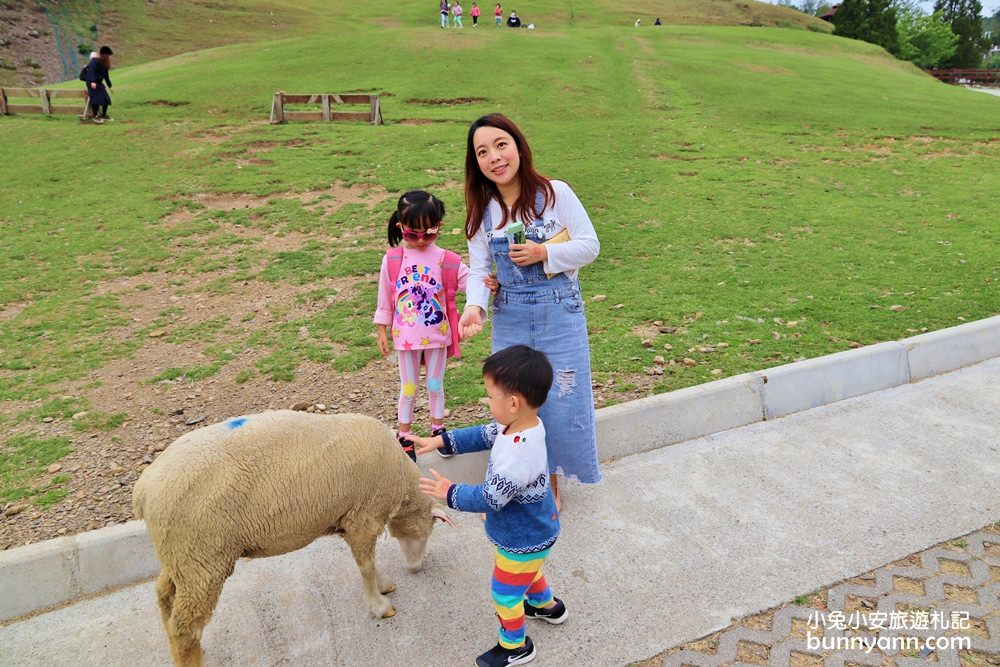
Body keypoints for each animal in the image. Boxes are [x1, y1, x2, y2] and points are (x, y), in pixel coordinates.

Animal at [131, 410, 448, 664]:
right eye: (430, 529)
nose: (415, 567)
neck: (403, 487)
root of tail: (143, 490)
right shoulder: (362, 518)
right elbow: (366, 566)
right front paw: (380, 605)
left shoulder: (349, 522)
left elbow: (367, 562)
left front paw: (383, 586)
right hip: (201, 560)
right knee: (183, 628)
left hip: (181, 556)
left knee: (165, 595)